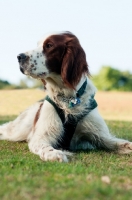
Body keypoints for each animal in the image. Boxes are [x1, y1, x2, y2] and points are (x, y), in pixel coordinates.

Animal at [0, 31, 132, 162]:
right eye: (38, 44)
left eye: (49, 45)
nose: (19, 56)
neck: (69, 97)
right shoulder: (41, 136)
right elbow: (45, 147)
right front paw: (56, 154)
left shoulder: (101, 136)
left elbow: (120, 143)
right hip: (18, 130)